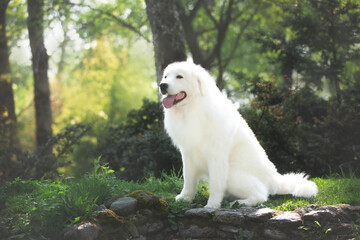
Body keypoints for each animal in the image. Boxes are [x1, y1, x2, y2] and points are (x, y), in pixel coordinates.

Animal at [159, 60, 316, 208]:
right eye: (166, 76)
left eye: (179, 76)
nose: (162, 85)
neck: (192, 109)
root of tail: (275, 180)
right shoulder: (188, 153)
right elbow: (188, 179)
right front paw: (185, 198)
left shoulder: (216, 157)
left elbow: (216, 185)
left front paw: (212, 205)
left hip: (232, 175)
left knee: (262, 195)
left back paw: (239, 203)